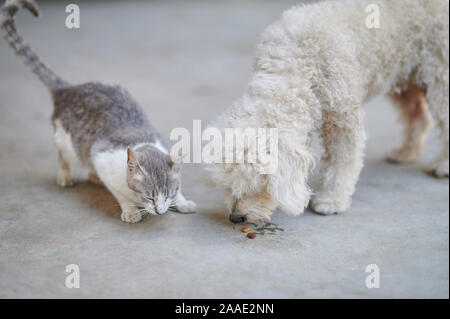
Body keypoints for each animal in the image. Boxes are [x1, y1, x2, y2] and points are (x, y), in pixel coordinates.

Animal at [0, 0, 196, 224]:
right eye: (149, 197)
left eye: (170, 193)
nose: (160, 210)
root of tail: (68, 89)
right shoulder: (102, 159)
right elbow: (120, 194)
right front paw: (131, 211)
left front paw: (183, 201)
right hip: (68, 142)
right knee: (63, 154)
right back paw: (66, 175)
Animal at [206, 0, 448, 224]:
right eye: (228, 182)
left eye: (257, 184)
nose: (235, 217)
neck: (300, 63)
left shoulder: (344, 118)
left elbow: (342, 163)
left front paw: (332, 199)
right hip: (405, 75)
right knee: (417, 116)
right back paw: (407, 151)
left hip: (440, 74)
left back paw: (443, 166)